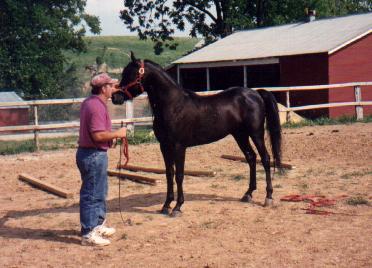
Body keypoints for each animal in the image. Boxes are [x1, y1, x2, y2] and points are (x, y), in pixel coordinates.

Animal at [112, 51, 280, 216]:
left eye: (132, 74)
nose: (115, 97)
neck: (173, 105)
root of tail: (255, 94)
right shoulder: (164, 146)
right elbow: (169, 174)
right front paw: (166, 205)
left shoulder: (179, 147)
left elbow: (179, 175)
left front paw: (177, 207)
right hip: (240, 135)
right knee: (251, 158)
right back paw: (248, 194)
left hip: (256, 133)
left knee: (265, 159)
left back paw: (268, 197)